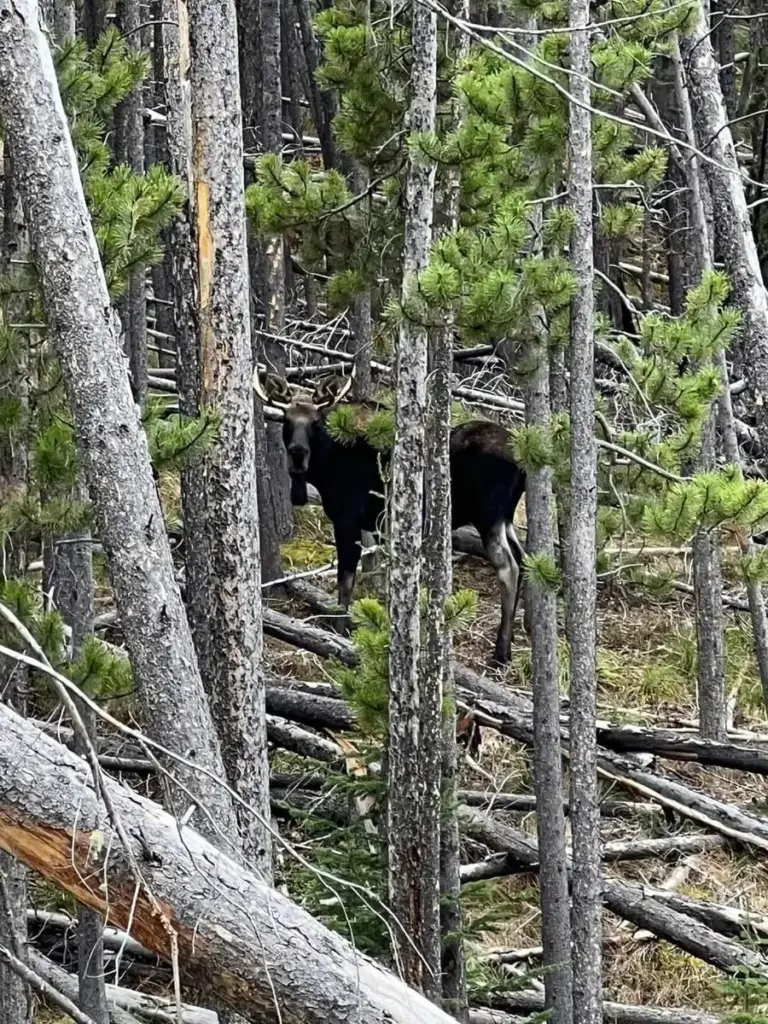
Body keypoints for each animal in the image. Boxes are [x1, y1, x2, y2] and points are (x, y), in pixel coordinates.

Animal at [254, 367, 527, 665]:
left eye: (315, 423)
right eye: (286, 420)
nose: (298, 454)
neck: (326, 467)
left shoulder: (347, 518)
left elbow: (346, 579)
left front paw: (339, 633)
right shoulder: (376, 526)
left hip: (488, 517)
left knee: (509, 567)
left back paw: (501, 651)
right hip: (506, 518)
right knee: (524, 560)